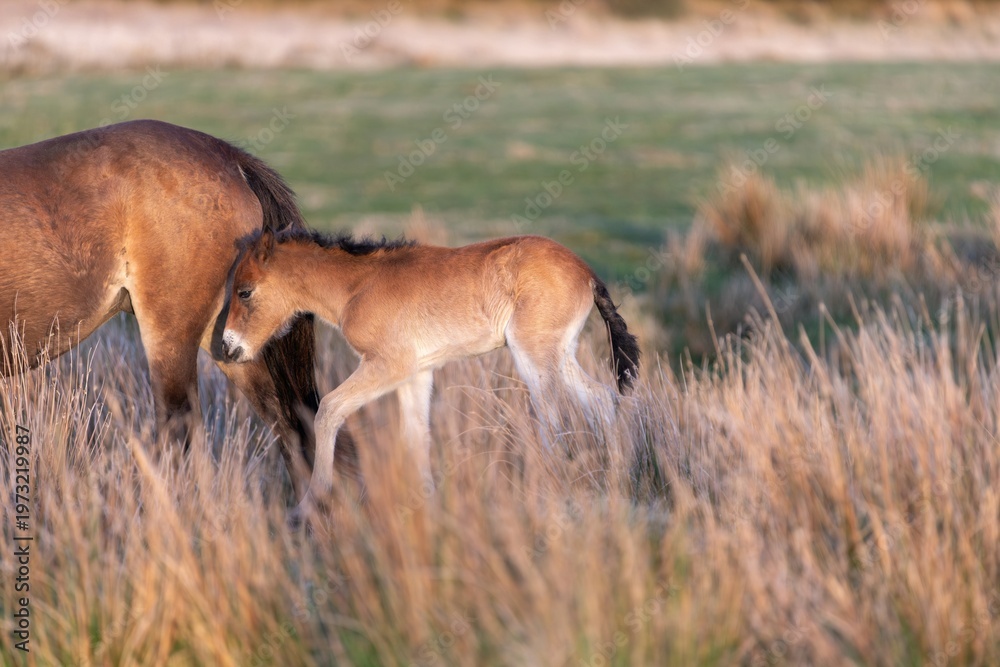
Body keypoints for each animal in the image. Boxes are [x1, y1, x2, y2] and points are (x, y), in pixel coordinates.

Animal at [220, 228, 640, 514]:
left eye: (245, 291)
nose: (228, 347)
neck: (358, 286)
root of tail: (587, 272)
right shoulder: (416, 373)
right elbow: (416, 434)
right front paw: (428, 506)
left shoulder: (388, 364)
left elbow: (328, 411)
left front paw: (312, 502)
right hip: (560, 355)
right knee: (602, 399)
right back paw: (618, 478)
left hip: (533, 357)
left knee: (551, 419)